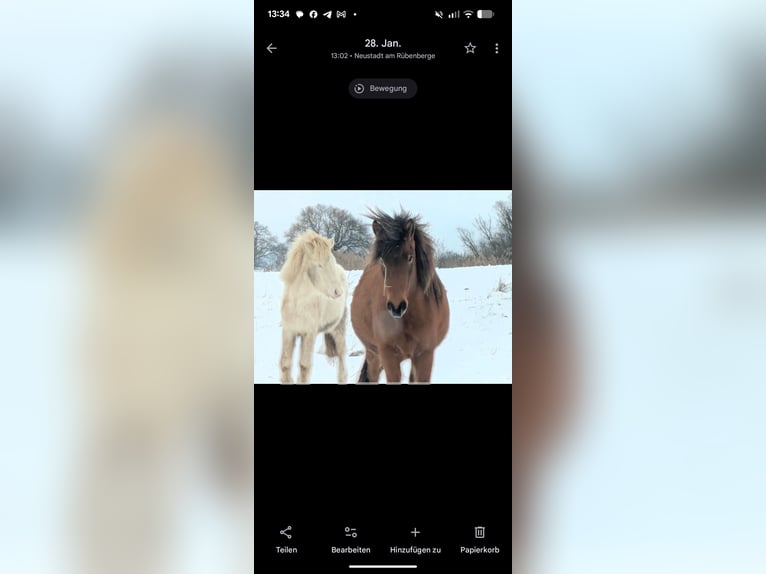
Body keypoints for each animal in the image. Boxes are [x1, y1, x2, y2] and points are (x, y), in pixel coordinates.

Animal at [279, 230, 349, 383]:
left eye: (333, 261)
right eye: (319, 265)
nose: (338, 292)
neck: (298, 305)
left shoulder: (309, 334)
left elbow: (304, 366)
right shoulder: (289, 332)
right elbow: (285, 365)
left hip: (338, 329)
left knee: (342, 356)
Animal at [350, 209, 450, 383]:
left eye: (410, 257)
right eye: (382, 260)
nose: (396, 307)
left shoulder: (425, 355)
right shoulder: (388, 355)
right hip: (373, 353)